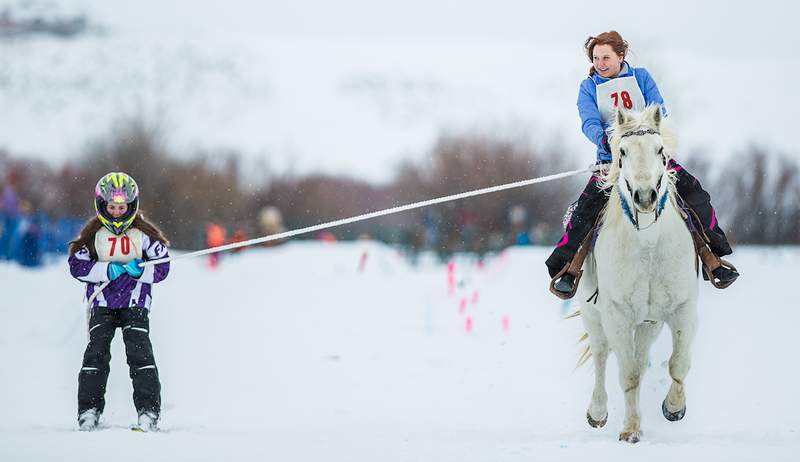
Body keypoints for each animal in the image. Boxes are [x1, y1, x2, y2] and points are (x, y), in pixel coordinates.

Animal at [580, 104, 696, 444]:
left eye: (659, 150)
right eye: (622, 151)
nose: (645, 196)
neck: (648, 245)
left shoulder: (683, 309)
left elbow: (678, 364)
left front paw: (674, 408)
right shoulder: (617, 316)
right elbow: (627, 374)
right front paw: (630, 430)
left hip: (649, 324)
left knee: (642, 360)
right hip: (594, 316)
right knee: (602, 354)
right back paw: (597, 412)